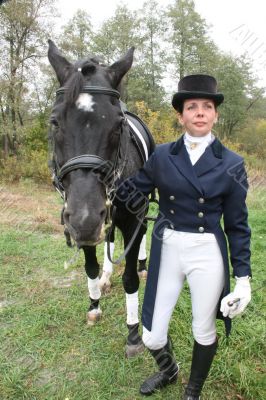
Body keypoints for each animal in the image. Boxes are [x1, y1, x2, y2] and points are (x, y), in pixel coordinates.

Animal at [46, 41, 153, 356]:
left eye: (118, 125)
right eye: (55, 122)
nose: (85, 218)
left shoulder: (133, 220)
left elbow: (130, 279)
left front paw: (133, 333)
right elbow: (90, 266)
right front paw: (94, 305)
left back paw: (143, 265)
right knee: (109, 237)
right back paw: (106, 277)